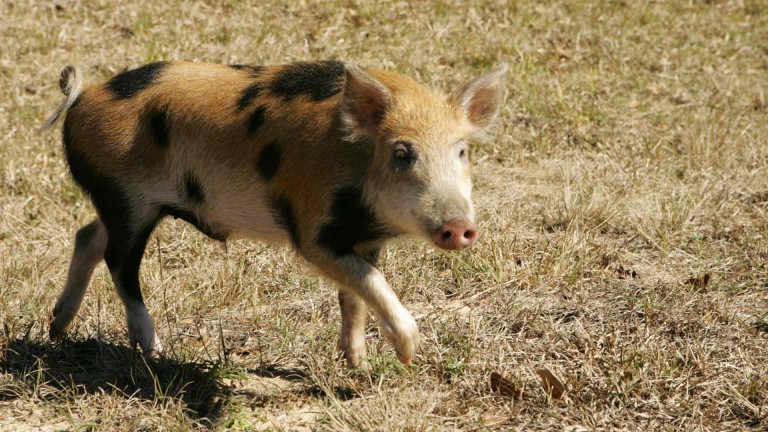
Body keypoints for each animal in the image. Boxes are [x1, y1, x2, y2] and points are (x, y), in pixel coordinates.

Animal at [42, 60, 508, 367]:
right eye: (401, 153)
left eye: (461, 151)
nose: (459, 227)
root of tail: (84, 96)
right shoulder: (311, 229)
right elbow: (368, 281)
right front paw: (409, 354)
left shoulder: (362, 239)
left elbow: (355, 293)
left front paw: (356, 364)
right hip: (128, 199)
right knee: (120, 263)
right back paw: (154, 351)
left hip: (117, 202)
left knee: (87, 236)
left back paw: (57, 330)